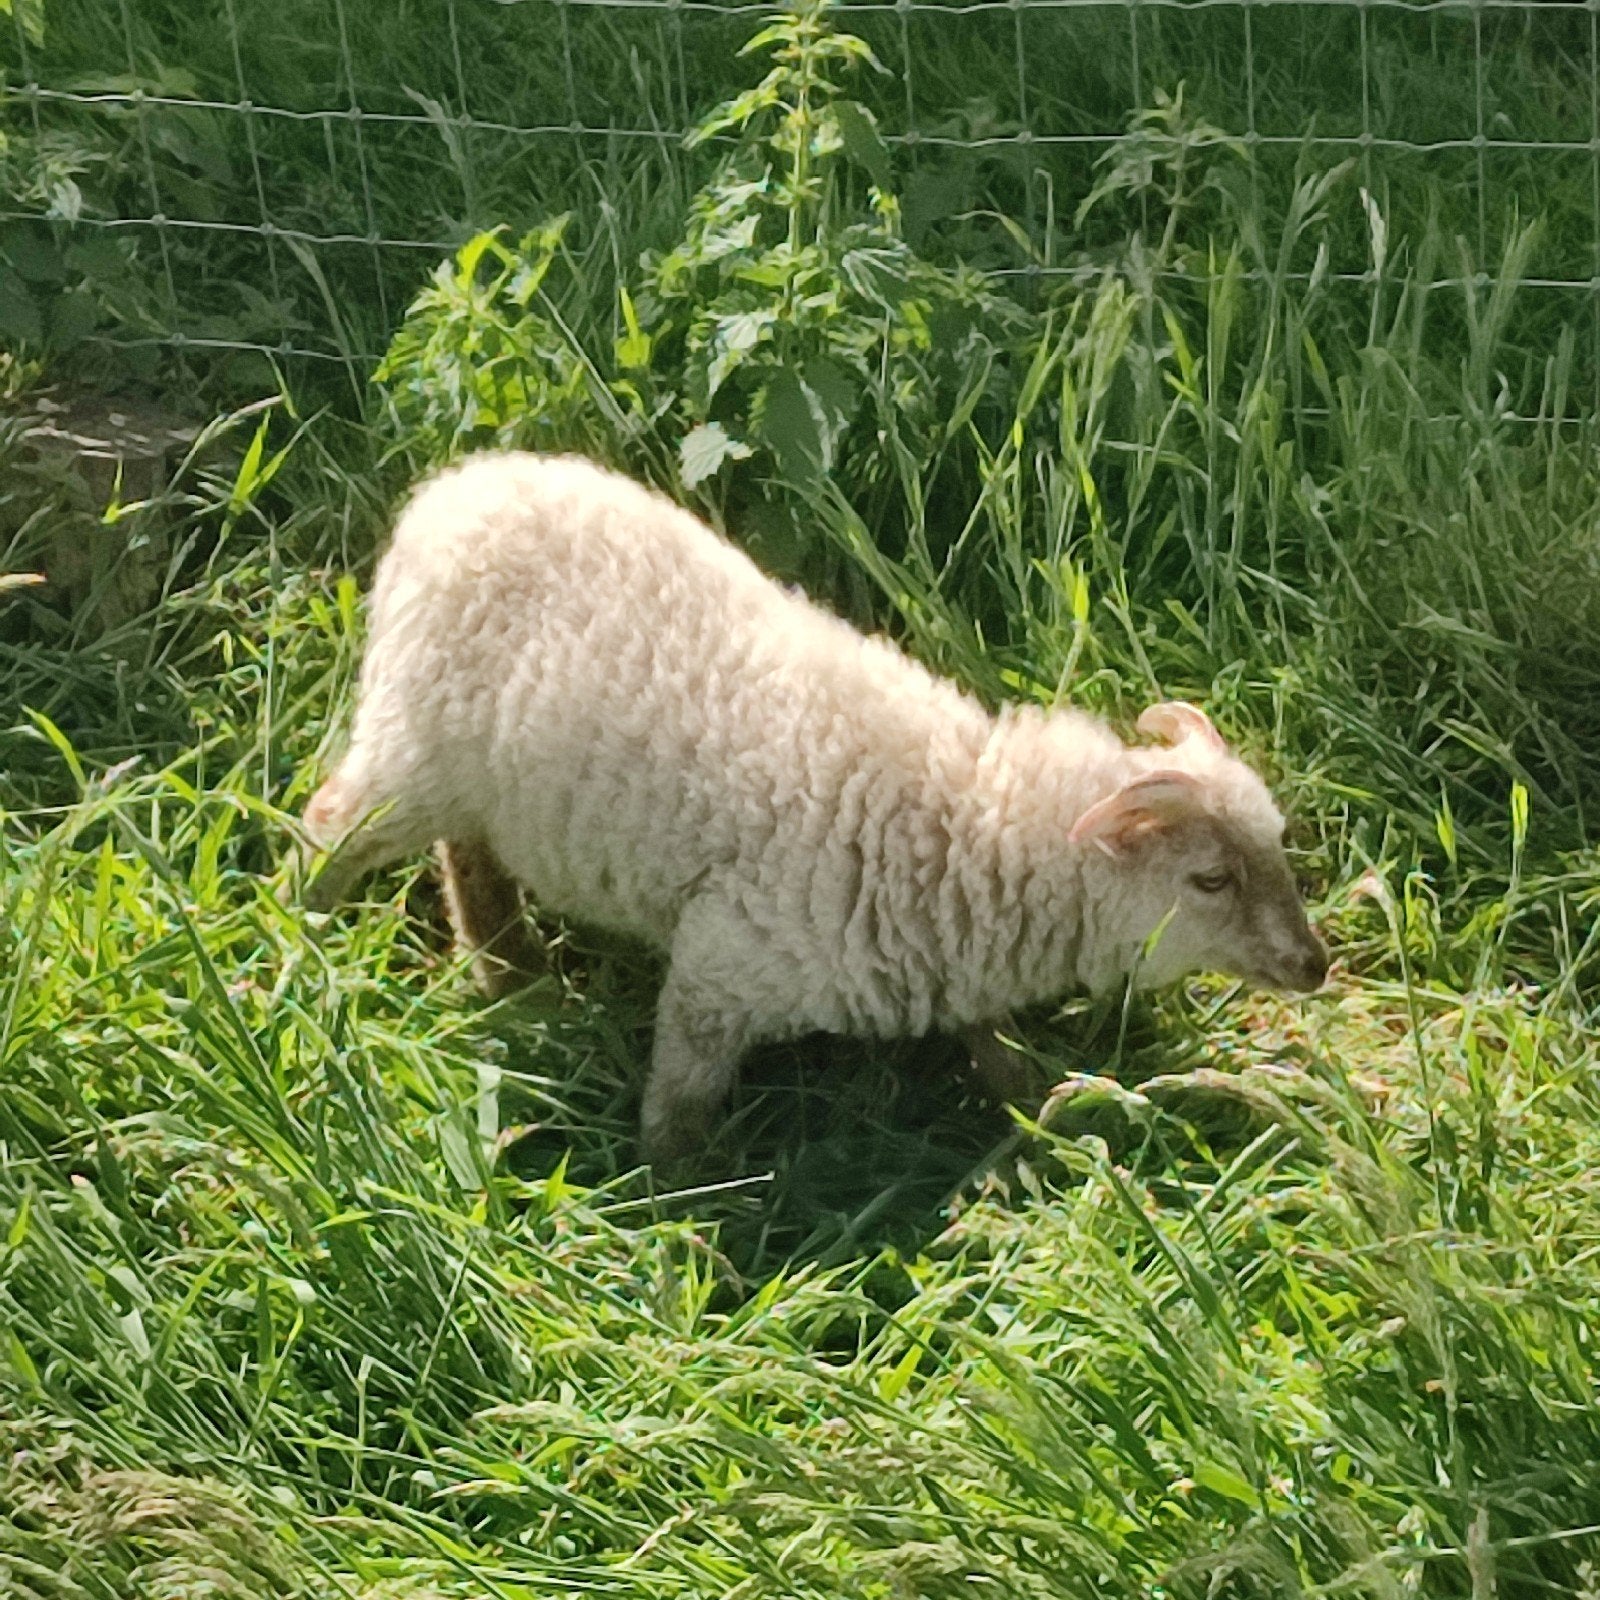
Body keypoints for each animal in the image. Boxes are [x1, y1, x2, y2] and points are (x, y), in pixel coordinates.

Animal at [299, 451, 1328, 1164]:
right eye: (1210, 878)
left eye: (1279, 847)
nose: (1316, 967)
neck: (965, 824)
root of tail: (451, 488)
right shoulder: (721, 967)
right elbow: (680, 1101)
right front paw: (676, 1202)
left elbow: (985, 1038)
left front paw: (1036, 1100)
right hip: (408, 743)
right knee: (328, 825)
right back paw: (297, 946)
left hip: (470, 774)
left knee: (466, 852)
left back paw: (509, 972)